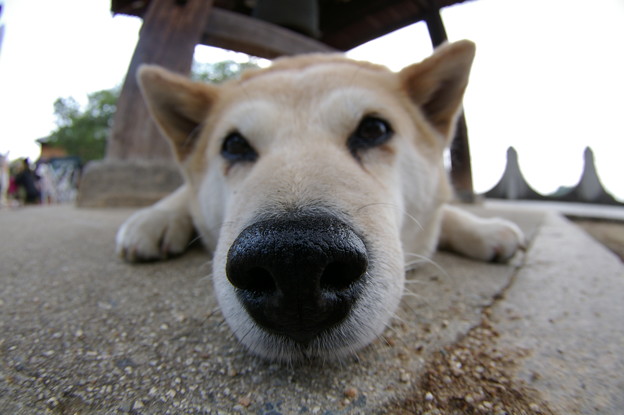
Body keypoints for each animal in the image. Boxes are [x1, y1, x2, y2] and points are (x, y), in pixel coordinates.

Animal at [114, 39, 524, 364]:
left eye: (374, 129)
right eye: (234, 145)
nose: (295, 262)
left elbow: (445, 214)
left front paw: (484, 230)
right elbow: (182, 194)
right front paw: (157, 217)